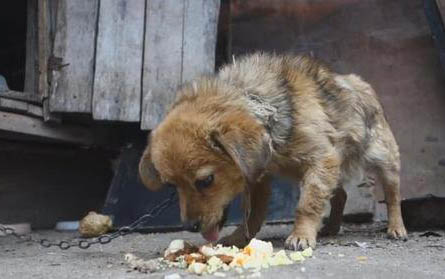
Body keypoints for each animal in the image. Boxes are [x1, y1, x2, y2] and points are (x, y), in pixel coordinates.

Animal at [139, 52, 406, 252]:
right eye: (172, 185)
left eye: (206, 180)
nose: (191, 226)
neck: (260, 103)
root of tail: (361, 84)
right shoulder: (258, 176)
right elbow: (252, 213)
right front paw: (240, 237)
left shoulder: (321, 159)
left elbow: (307, 203)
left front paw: (301, 234)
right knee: (340, 194)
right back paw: (331, 227)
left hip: (383, 158)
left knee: (392, 195)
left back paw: (396, 227)